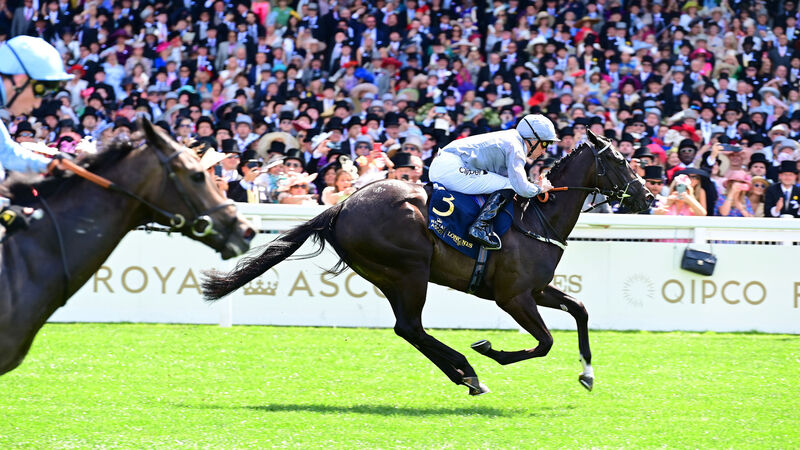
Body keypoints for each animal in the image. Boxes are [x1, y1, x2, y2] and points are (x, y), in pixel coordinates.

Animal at [202, 130, 653, 395]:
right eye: (620, 161)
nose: (649, 196)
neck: (537, 218)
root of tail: (341, 206)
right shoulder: (513, 297)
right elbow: (544, 343)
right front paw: (492, 350)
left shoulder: (537, 289)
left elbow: (580, 309)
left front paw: (588, 373)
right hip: (410, 271)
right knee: (411, 327)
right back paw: (469, 369)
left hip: (390, 276)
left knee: (409, 329)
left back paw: (465, 375)